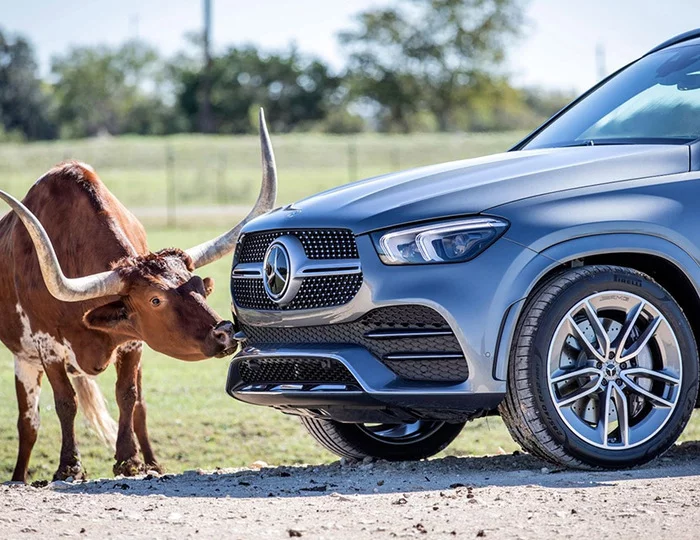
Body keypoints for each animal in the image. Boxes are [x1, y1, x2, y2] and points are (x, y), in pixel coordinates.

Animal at [0, 108, 278, 480]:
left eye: (197, 285)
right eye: (155, 300)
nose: (224, 333)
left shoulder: (133, 343)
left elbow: (128, 396)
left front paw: (130, 460)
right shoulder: (47, 346)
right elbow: (65, 402)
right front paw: (69, 466)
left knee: (140, 408)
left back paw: (153, 463)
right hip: (25, 359)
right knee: (28, 422)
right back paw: (18, 476)